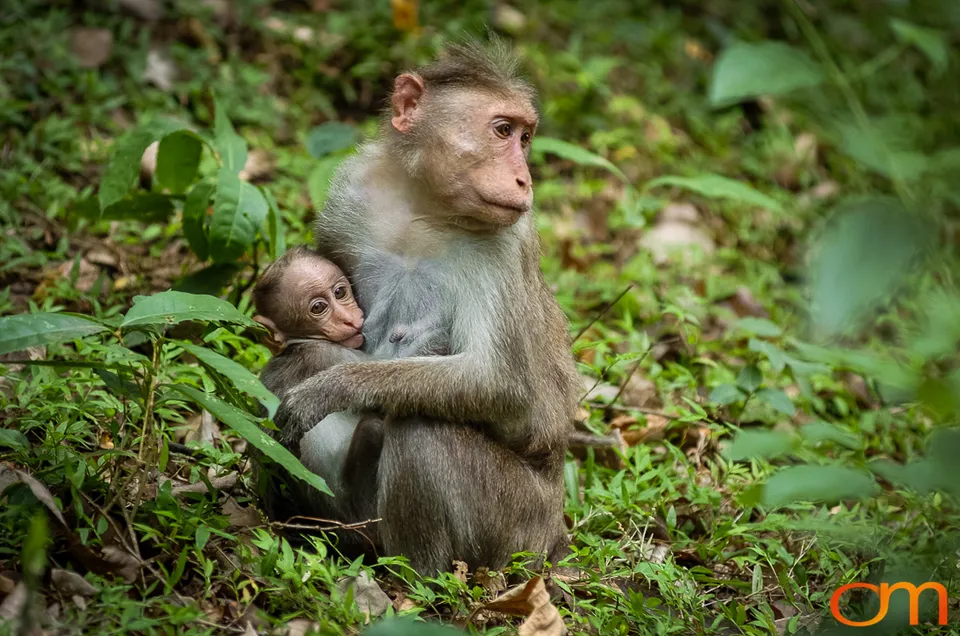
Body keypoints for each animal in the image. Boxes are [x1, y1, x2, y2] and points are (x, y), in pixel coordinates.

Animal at [262, 39, 581, 576]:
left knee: (421, 426)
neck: (425, 208)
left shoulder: (507, 242)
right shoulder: (352, 187)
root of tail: (554, 533)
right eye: (503, 131)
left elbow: (498, 382)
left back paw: (415, 580)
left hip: (516, 526)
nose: (524, 180)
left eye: (526, 137)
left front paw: (329, 381)